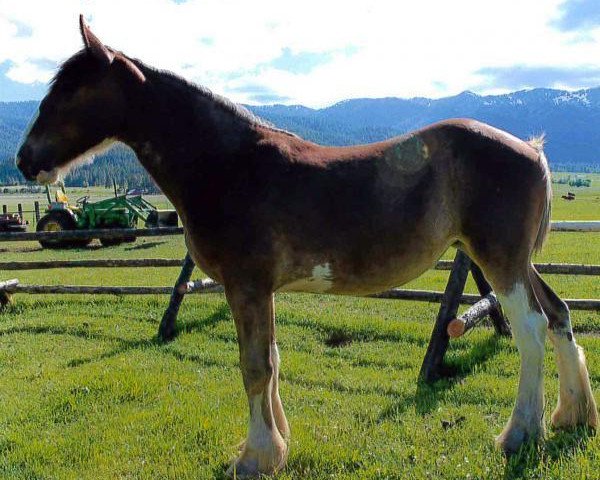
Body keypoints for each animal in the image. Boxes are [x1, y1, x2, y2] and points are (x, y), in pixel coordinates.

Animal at [16, 15, 596, 476]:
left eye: (70, 92)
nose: (25, 160)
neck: (228, 165)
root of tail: (532, 149)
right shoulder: (261, 290)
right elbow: (271, 361)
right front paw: (275, 447)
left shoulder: (247, 286)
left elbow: (254, 366)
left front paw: (255, 458)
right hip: (517, 262)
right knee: (560, 315)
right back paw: (573, 417)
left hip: (499, 261)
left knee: (531, 331)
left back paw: (520, 434)